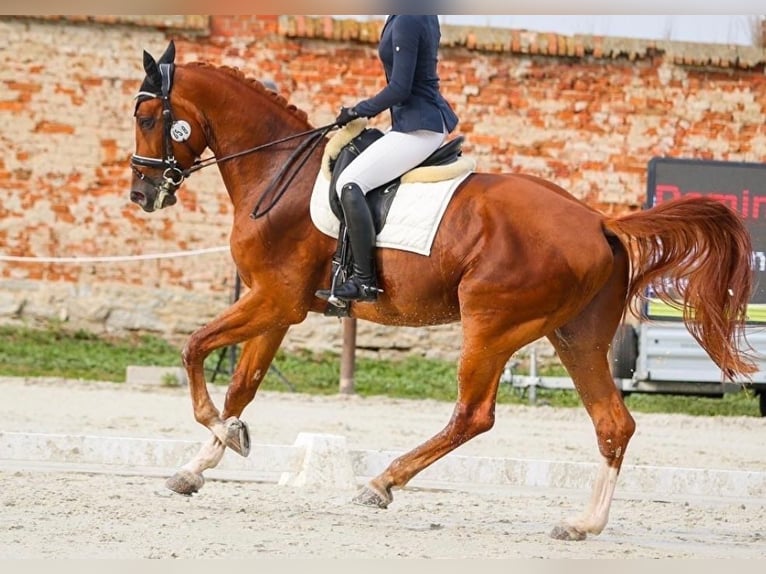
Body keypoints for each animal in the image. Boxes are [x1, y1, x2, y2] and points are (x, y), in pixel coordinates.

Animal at [129, 41, 756, 541]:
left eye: (147, 117)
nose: (141, 194)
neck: (277, 167)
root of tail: (600, 221)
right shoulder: (278, 305)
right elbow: (243, 385)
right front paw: (202, 461)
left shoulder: (274, 299)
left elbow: (192, 349)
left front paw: (221, 434)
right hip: (574, 336)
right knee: (612, 423)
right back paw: (583, 524)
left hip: (492, 325)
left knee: (473, 415)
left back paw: (381, 483)